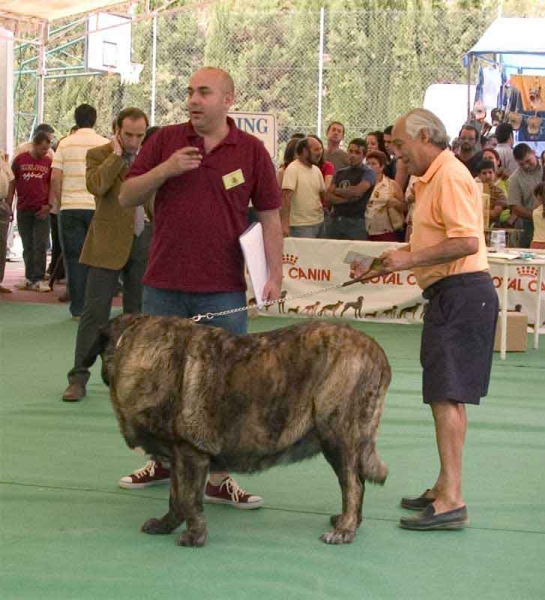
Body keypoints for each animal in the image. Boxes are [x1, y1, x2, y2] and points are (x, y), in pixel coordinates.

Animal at [92, 316, 392, 548]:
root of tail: (376, 350)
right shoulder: (177, 456)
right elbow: (175, 497)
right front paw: (166, 525)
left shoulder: (190, 453)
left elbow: (188, 499)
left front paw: (194, 536)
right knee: (357, 481)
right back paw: (347, 522)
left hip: (338, 437)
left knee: (353, 485)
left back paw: (344, 530)